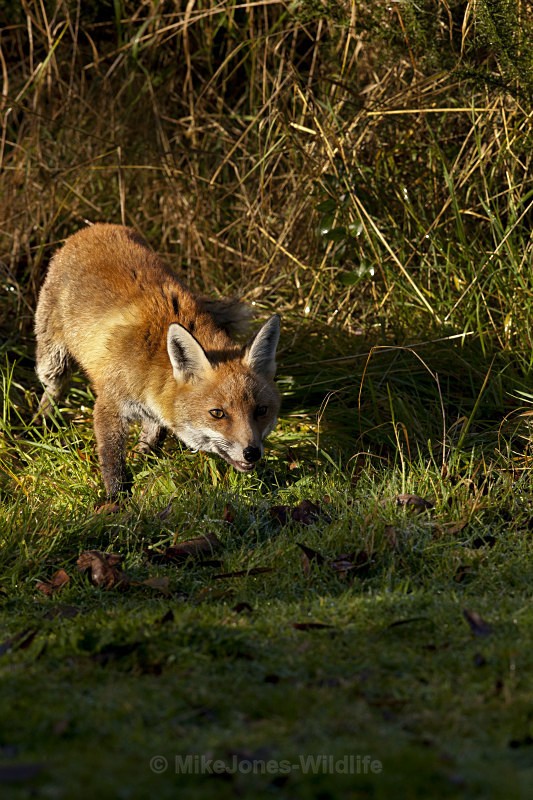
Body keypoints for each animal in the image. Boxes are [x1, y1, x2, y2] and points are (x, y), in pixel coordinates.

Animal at [34, 223, 281, 498]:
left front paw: (143, 463)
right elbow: (111, 458)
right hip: (52, 359)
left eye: (261, 410)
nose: (252, 453)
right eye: (217, 413)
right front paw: (116, 498)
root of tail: (94, 227)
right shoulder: (110, 404)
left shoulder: (154, 410)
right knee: (53, 387)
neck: (153, 362)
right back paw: (41, 423)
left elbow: (151, 440)